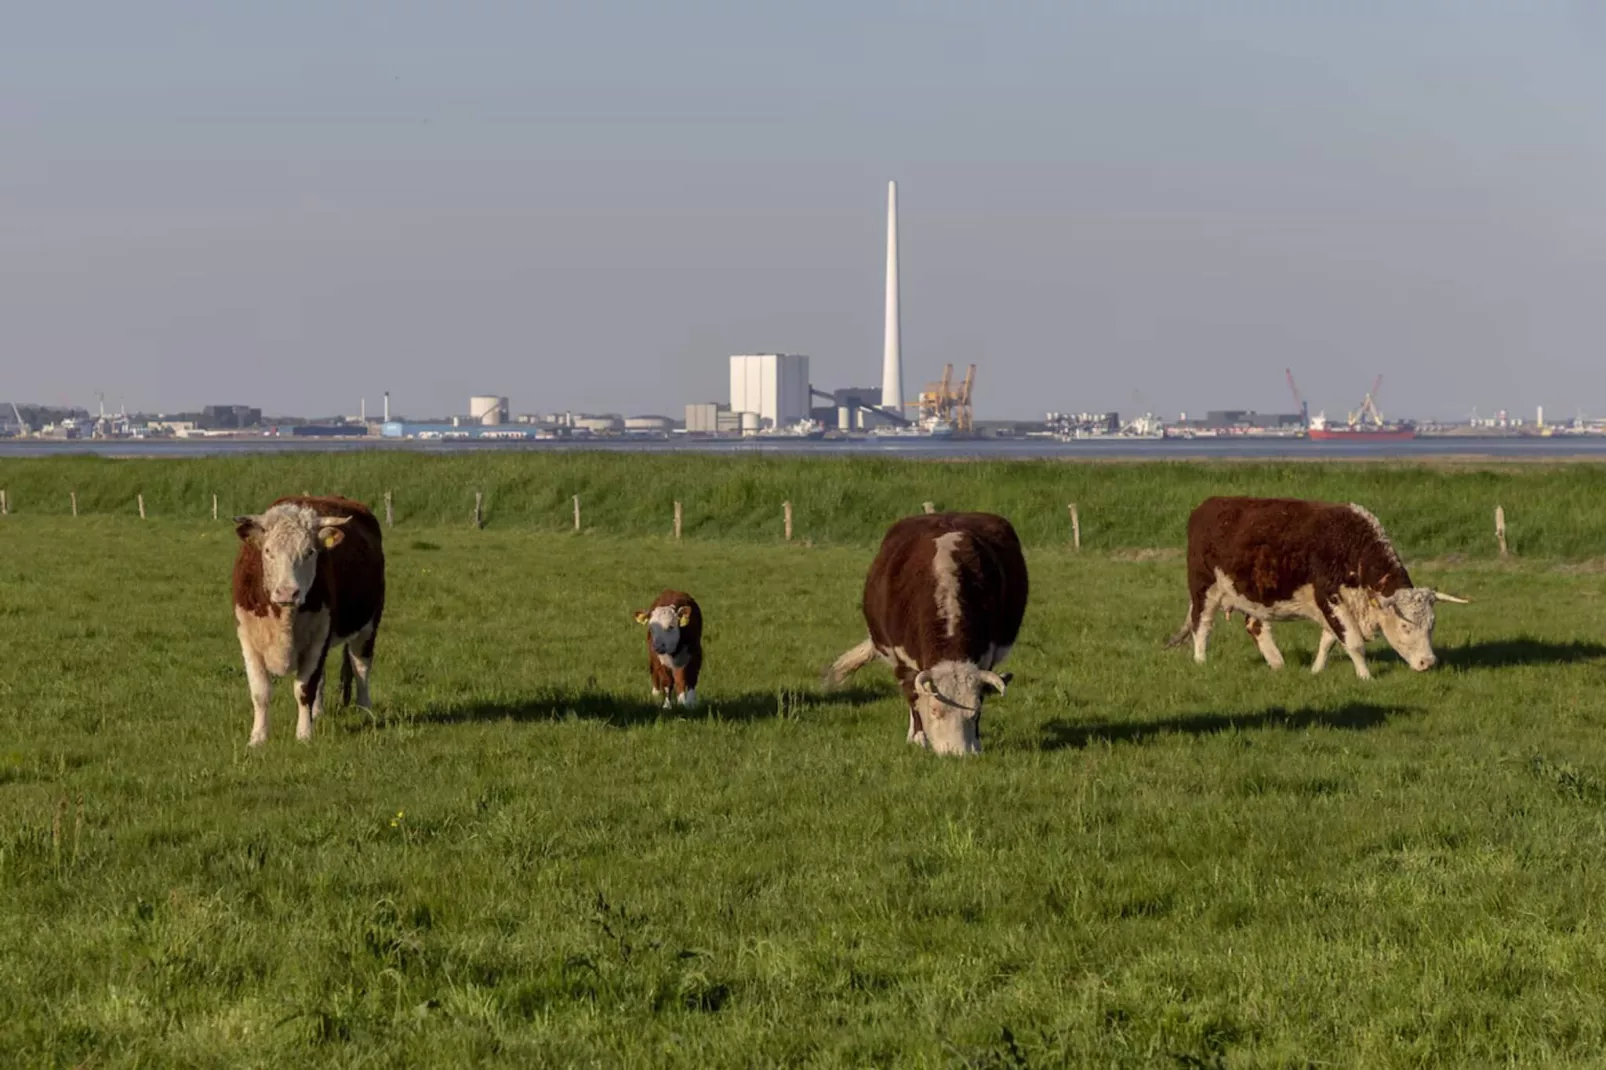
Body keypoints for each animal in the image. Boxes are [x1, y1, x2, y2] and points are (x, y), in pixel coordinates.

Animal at [232, 491, 385, 742]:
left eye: (310, 552)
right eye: (268, 551)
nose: (287, 592)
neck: (284, 618)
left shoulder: (319, 637)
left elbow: (304, 689)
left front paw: (304, 734)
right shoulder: (248, 638)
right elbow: (260, 692)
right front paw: (258, 738)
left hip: (369, 624)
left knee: (361, 666)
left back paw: (365, 710)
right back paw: (318, 713)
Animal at [828, 514, 1027, 755]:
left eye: (975, 712)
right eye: (935, 710)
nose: (956, 754)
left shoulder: (987, 655)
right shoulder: (902, 660)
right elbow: (913, 697)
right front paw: (918, 738)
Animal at [1169, 494, 1471, 674]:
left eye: (1432, 625)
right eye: (1406, 626)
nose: (1428, 662)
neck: (1351, 548)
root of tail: (1208, 505)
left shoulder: (1337, 607)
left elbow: (1329, 641)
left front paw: (1316, 670)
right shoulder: (1330, 598)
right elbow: (1353, 642)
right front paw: (1366, 676)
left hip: (1252, 595)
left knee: (1255, 625)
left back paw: (1277, 664)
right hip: (1204, 588)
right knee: (1201, 625)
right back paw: (1201, 661)